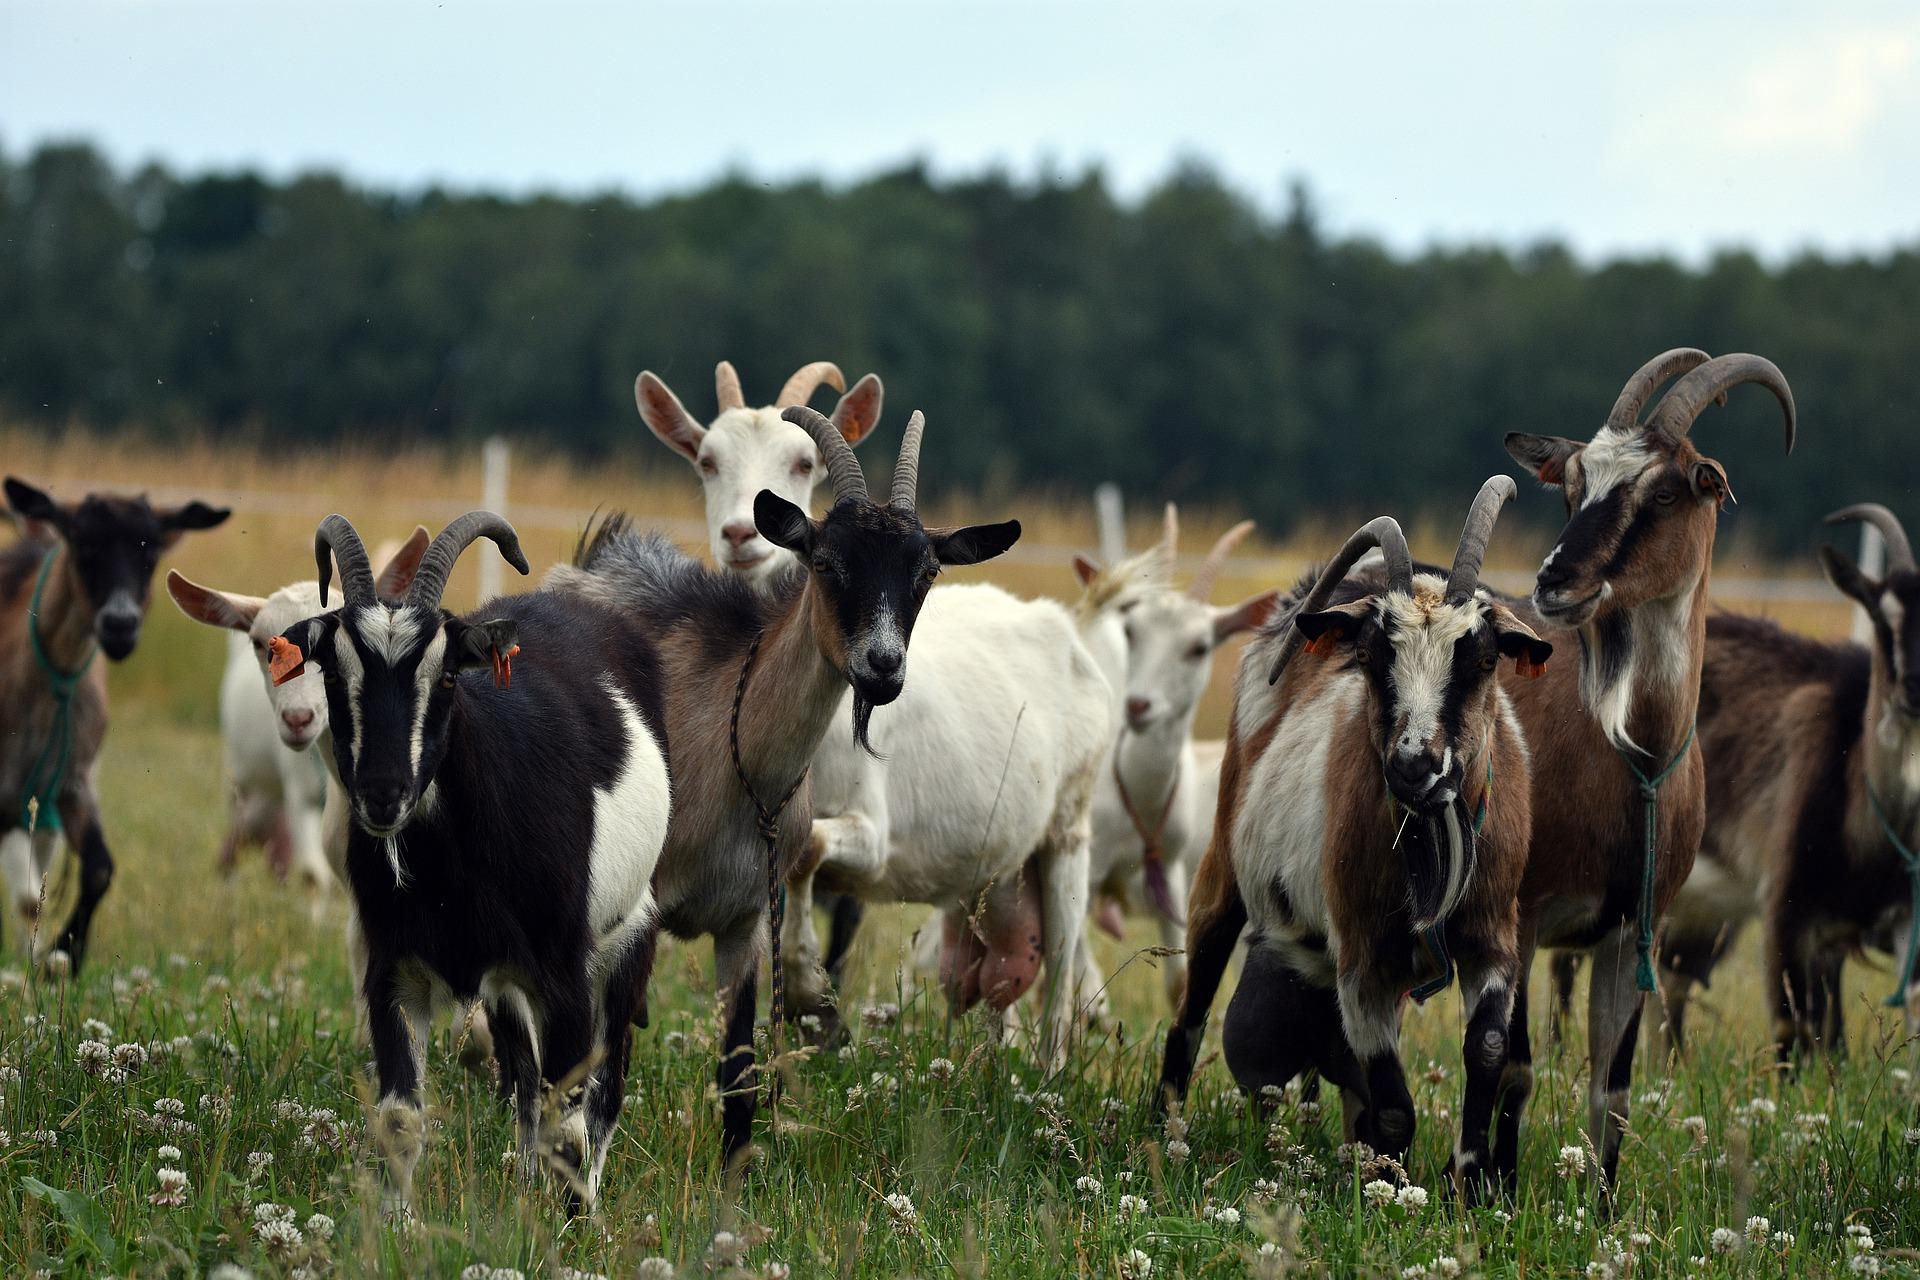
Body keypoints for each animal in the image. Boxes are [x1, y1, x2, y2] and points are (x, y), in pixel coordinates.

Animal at [0, 478, 229, 968]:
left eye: (151, 553)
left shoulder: (72, 781)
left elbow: (99, 869)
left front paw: (61, 958)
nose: (121, 625)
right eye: (83, 544)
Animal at [551, 405, 1021, 1163]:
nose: (883, 666)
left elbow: (739, 1080)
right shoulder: (638, 913)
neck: (737, 759)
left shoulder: (745, 919)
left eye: (926, 571)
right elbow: (605, 1073)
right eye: (826, 562)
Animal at [1161, 480, 1547, 1193]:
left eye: (1483, 660)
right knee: (1192, 1011)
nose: (1415, 765)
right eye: (1370, 656)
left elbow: (1486, 1049)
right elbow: (1394, 1107)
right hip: (1222, 870)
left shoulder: (1492, 934)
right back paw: (1162, 1132)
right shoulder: (1363, 958)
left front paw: (1469, 1184)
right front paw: (1391, 1193)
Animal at [1479, 349, 1795, 1191]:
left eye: (1665, 489)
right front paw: (1498, 1196)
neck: (1631, 756)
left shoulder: (1630, 931)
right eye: (1574, 483)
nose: (1556, 583)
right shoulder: (1524, 917)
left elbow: (1611, 1091)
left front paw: (1603, 1204)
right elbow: (1515, 1069)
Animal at [1654, 503, 1920, 1058]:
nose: (1915, 688)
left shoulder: (1900, 920)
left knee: (1668, 983)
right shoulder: (1789, 911)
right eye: (1882, 618)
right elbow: (1794, 1033)